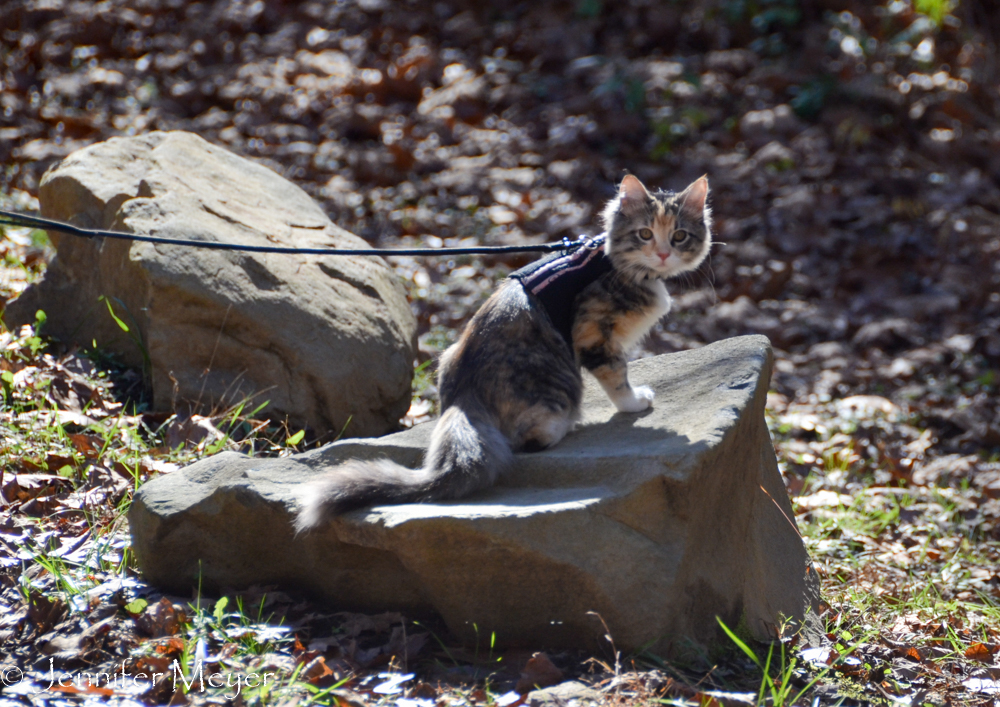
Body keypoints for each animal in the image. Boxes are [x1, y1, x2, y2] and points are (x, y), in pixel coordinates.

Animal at [292, 176, 716, 532]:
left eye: (679, 236)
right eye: (645, 234)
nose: (663, 254)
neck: (615, 264)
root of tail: (461, 399)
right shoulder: (594, 331)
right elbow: (616, 376)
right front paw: (635, 403)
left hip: (446, 355)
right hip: (557, 383)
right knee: (530, 440)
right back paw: (569, 425)